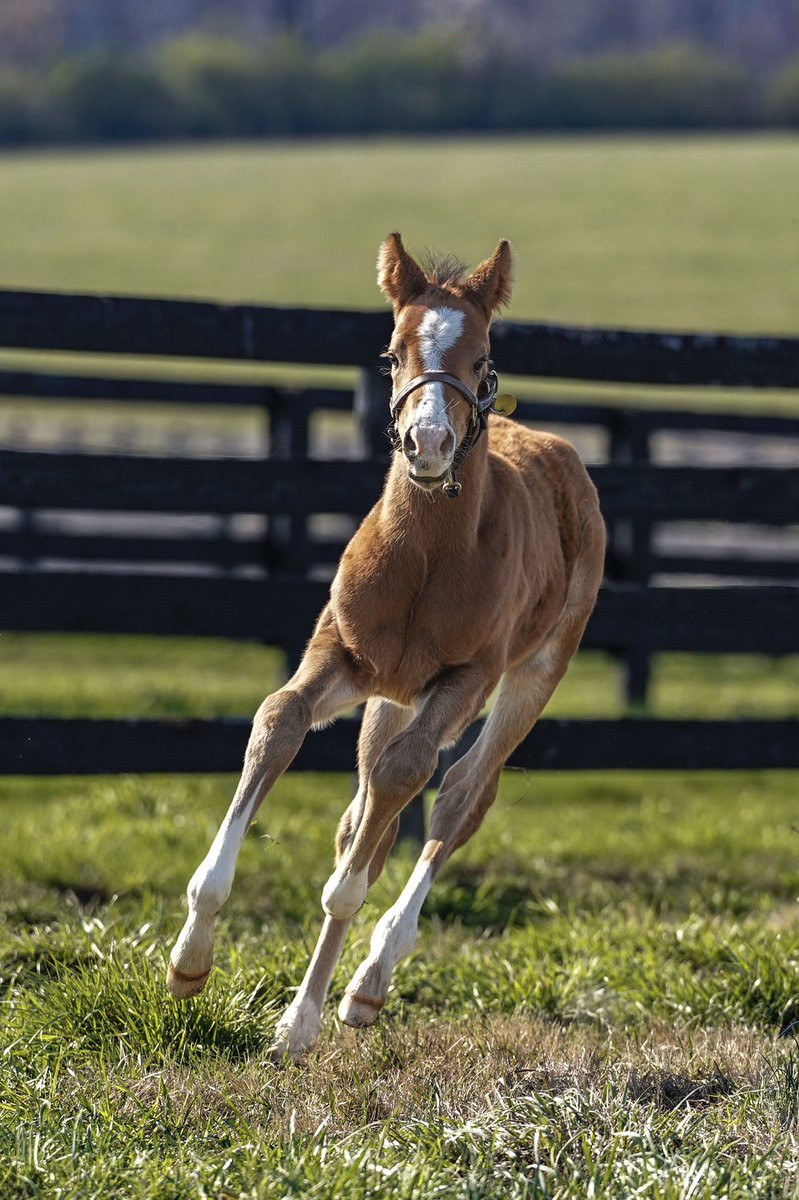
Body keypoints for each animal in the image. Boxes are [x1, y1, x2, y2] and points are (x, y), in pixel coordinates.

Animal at [166, 233, 606, 1058]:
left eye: (480, 356)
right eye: (392, 353)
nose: (426, 441)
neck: (426, 556)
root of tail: (555, 449)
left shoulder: (467, 676)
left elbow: (376, 841)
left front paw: (306, 1013)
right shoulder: (341, 653)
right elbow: (279, 723)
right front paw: (189, 959)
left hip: (531, 672)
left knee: (456, 797)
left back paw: (366, 985)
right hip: (390, 697)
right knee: (370, 806)